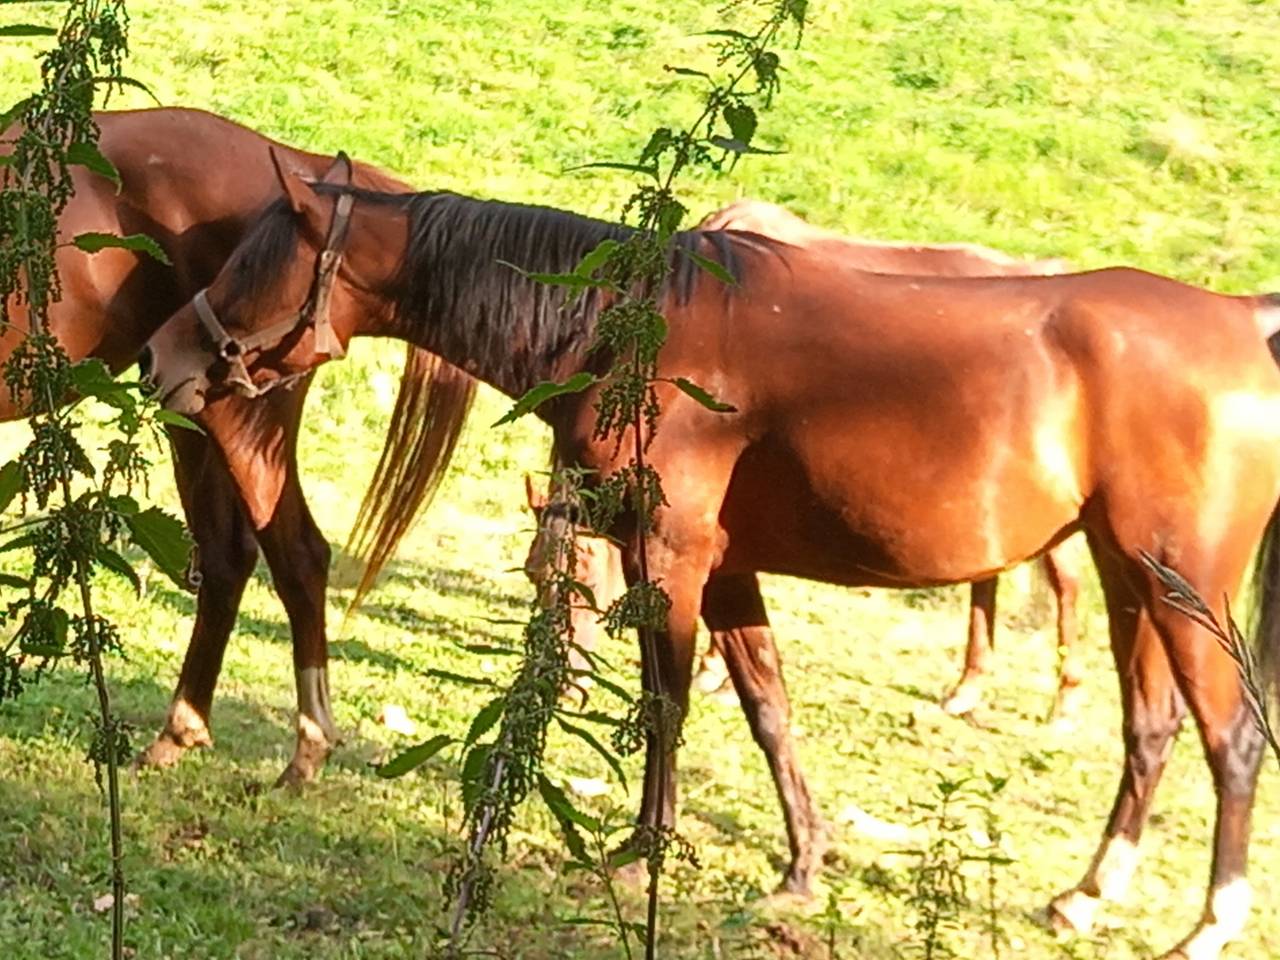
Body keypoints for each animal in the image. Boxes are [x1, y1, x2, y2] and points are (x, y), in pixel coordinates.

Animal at [1, 107, 475, 784]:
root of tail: (303, 170)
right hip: (187, 407)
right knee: (230, 556)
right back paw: (181, 732)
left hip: (238, 416)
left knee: (297, 555)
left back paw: (306, 748)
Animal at [527, 199, 1087, 721]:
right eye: (534, 577)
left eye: (579, 583)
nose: (564, 685)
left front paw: (715, 674)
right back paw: (968, 688)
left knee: (1066, 583)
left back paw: (1063, 700)